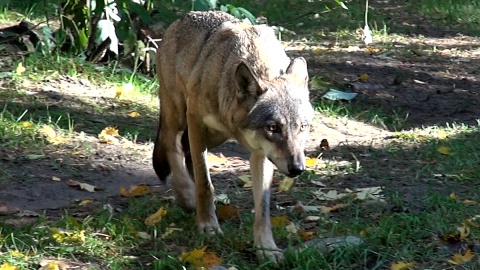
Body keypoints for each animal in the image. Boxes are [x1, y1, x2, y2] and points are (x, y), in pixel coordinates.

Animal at [152, 11, 314, 262]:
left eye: (303, 127)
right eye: (273, 128)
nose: (297, 168)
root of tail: (181, 18)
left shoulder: (261, 153)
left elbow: (263, 207)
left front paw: (266, 248)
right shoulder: (195, 120)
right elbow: (205, 183)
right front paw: (208, 225)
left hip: (214, 136)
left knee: (186, 152)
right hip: (178, 114)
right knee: (172, 145)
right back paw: (186, 195)